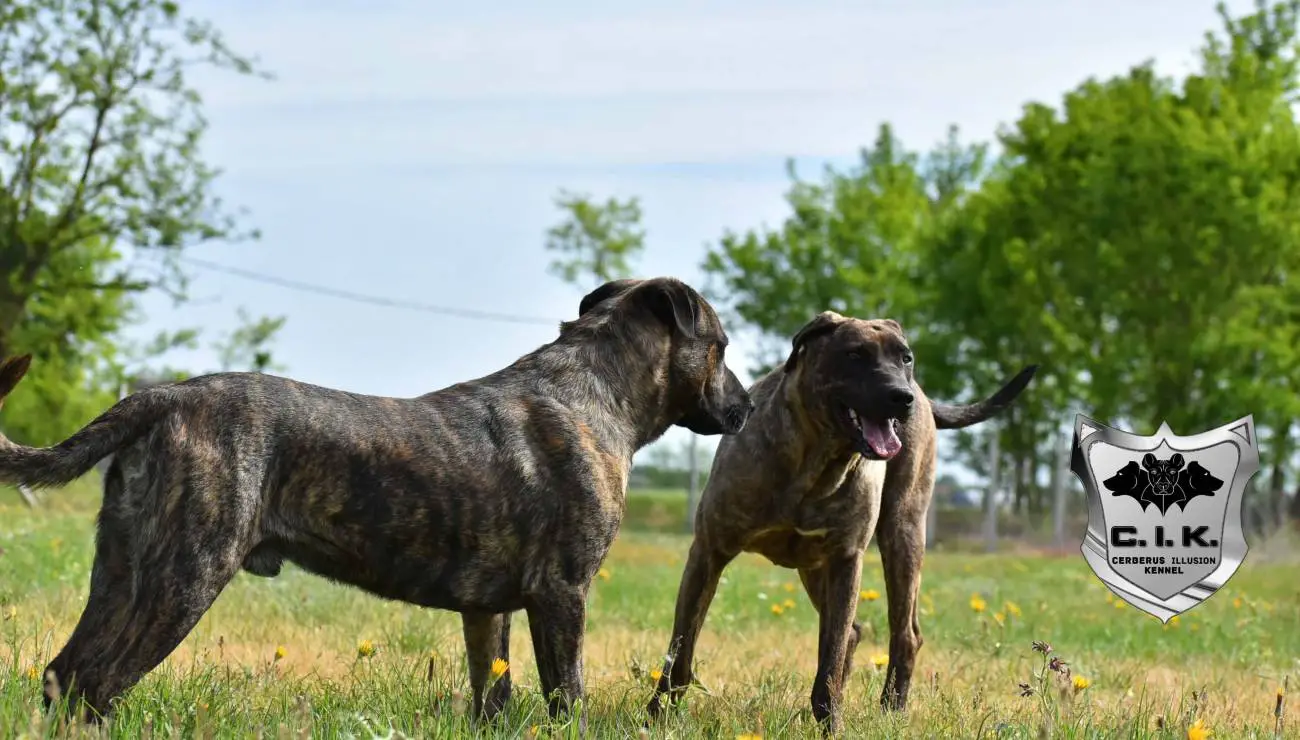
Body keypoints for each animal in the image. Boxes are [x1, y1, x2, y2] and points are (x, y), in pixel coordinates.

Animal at [0, 275, 754, 723]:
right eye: (720, 346)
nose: (746, 407)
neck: (594, 394)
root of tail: (163, 398)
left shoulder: (489, 612)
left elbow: (494, 694)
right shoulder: (562, 592)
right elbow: (566, 696)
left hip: (120, 573)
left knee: (64, 675)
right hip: (183, 576)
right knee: (97, 683)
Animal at [642, 308, 1034, 728]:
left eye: (905, 357)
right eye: (855, 354)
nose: (902, 396)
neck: (814, 461)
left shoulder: (846, 560)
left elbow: (830, 656)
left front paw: (832, 723)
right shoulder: (709, 552)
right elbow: (681, 647)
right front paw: (658, 714)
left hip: (902, 534)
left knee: (901, 633)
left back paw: (891, 710)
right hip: (815, 569)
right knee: (855, 631)